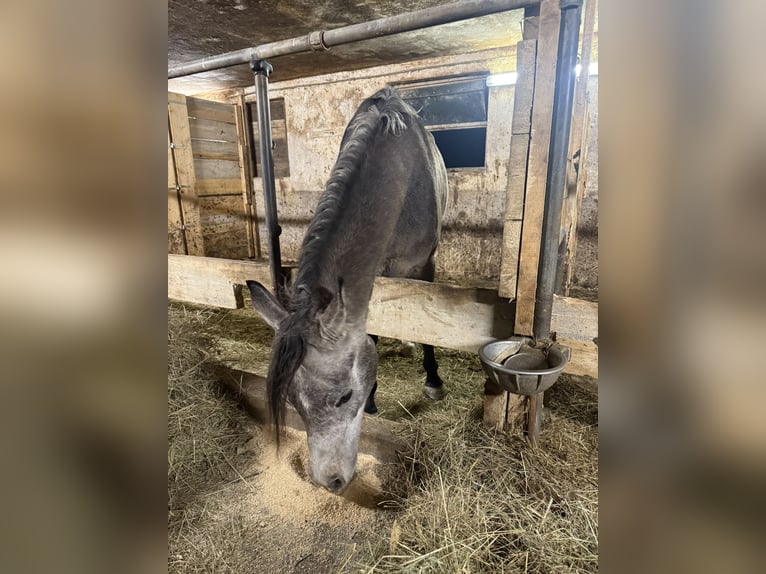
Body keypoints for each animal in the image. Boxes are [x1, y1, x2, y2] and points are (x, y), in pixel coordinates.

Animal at [246, 86, 449, 493]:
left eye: (344, 397)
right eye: (294, 401)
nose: (331, 481)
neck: (398, 175)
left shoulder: (424, 264)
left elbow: (425, 328)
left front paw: (432, 381)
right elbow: (371, 333)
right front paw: (373, 401)